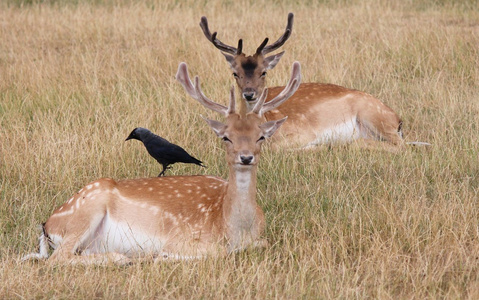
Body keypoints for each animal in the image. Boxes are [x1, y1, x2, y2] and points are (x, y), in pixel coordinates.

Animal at [21, 61, 300, 264]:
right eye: (226, 137)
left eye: (261, 136)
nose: (246, 157)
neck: (232, 228)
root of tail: (48, 225)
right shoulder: (183, 236)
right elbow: (215, 252)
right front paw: (163, 255)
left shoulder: (260, 238)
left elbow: (262, 243)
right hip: (85, 211)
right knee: (57, 259)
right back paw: (123, 257)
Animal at [201, 14, 430, 150]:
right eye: (235, 73)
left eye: (263, 71)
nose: (249, 94)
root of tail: (398, 119)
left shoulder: (302, 133)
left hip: (374, 116)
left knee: (401, 146)